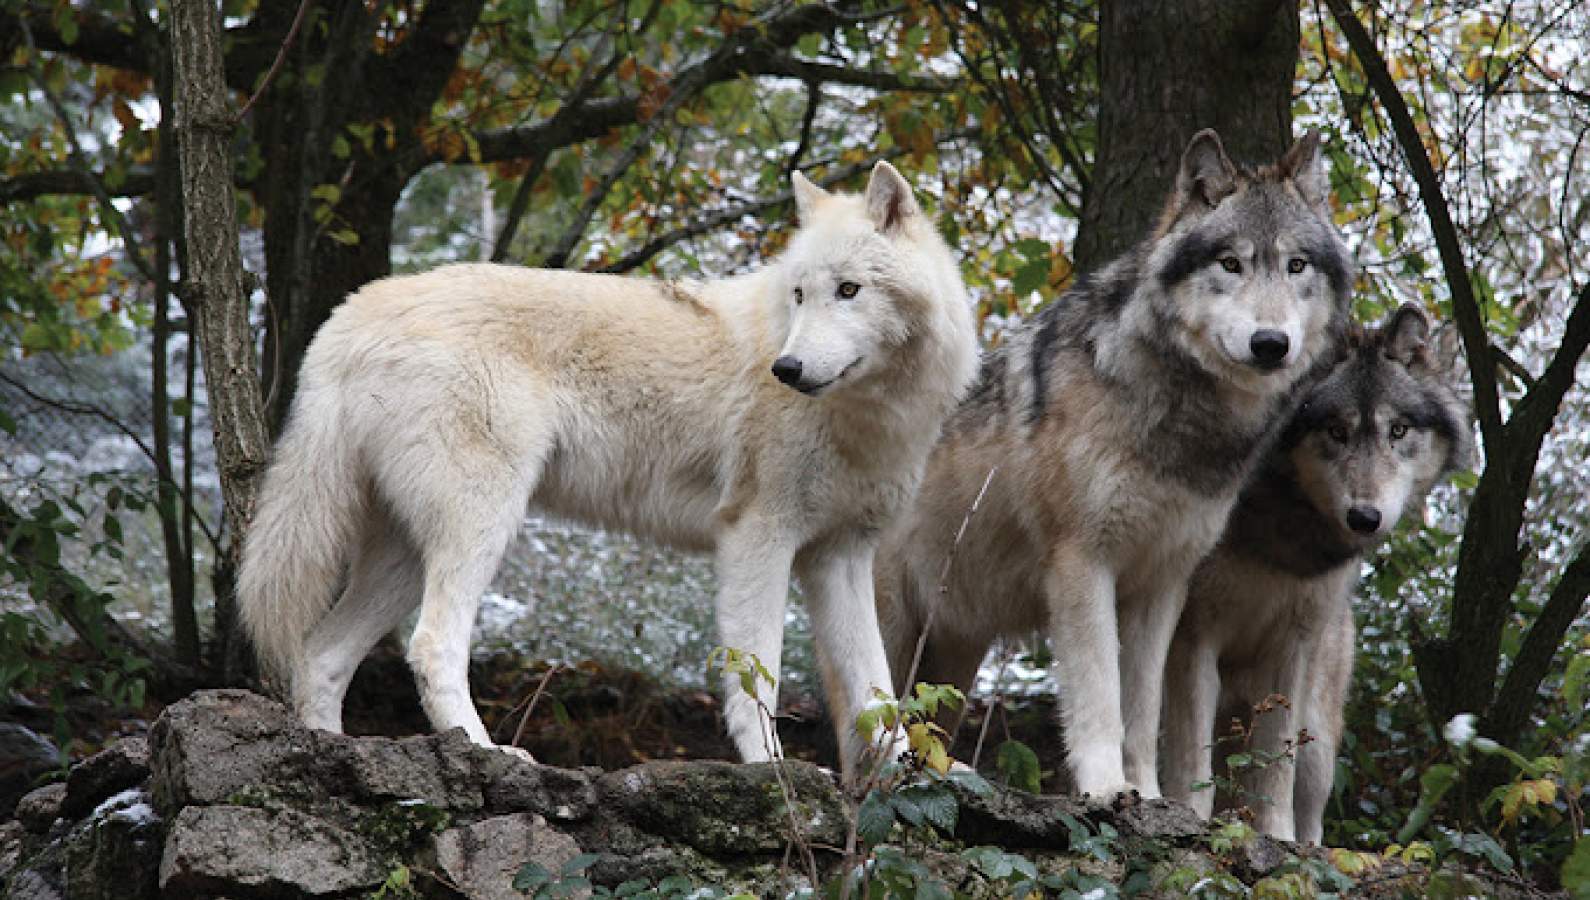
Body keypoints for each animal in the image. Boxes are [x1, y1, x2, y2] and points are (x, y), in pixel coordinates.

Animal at [235, 163, 979, 782]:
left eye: (849, 291)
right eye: (800, 294)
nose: (787, 369)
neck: (872, 415)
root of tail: (348, 313)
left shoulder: (841, 557)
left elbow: (877, 688)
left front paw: (915, 773)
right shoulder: (757, 538)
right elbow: (757, 678)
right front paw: (775, 771)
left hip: (404, 558)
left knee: (323, 655)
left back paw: (333, 754)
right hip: (480, 527)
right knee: (431, 646)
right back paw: (487, 752)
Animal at [877, 130, 1348, 801]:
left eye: (1296, 265)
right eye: (1229, 264)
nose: (1270, 344)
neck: (1179, 420)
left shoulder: (1162, 588)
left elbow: (1142, 711)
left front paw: (1147, 794)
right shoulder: (1081, 564)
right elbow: (1100, 694)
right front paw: (1104, 788)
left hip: (953, 650)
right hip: (894, 621)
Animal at [1157, 305, 1475, 845]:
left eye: (1397, 431)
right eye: (1335, 431)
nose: (1365, 517)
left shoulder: (1292, 649)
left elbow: (1273, 769)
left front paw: (1278, 840)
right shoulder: (1192, 639)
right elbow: (1191, 761)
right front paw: (1192, 824)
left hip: (1319, 746)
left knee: (1307, 804)